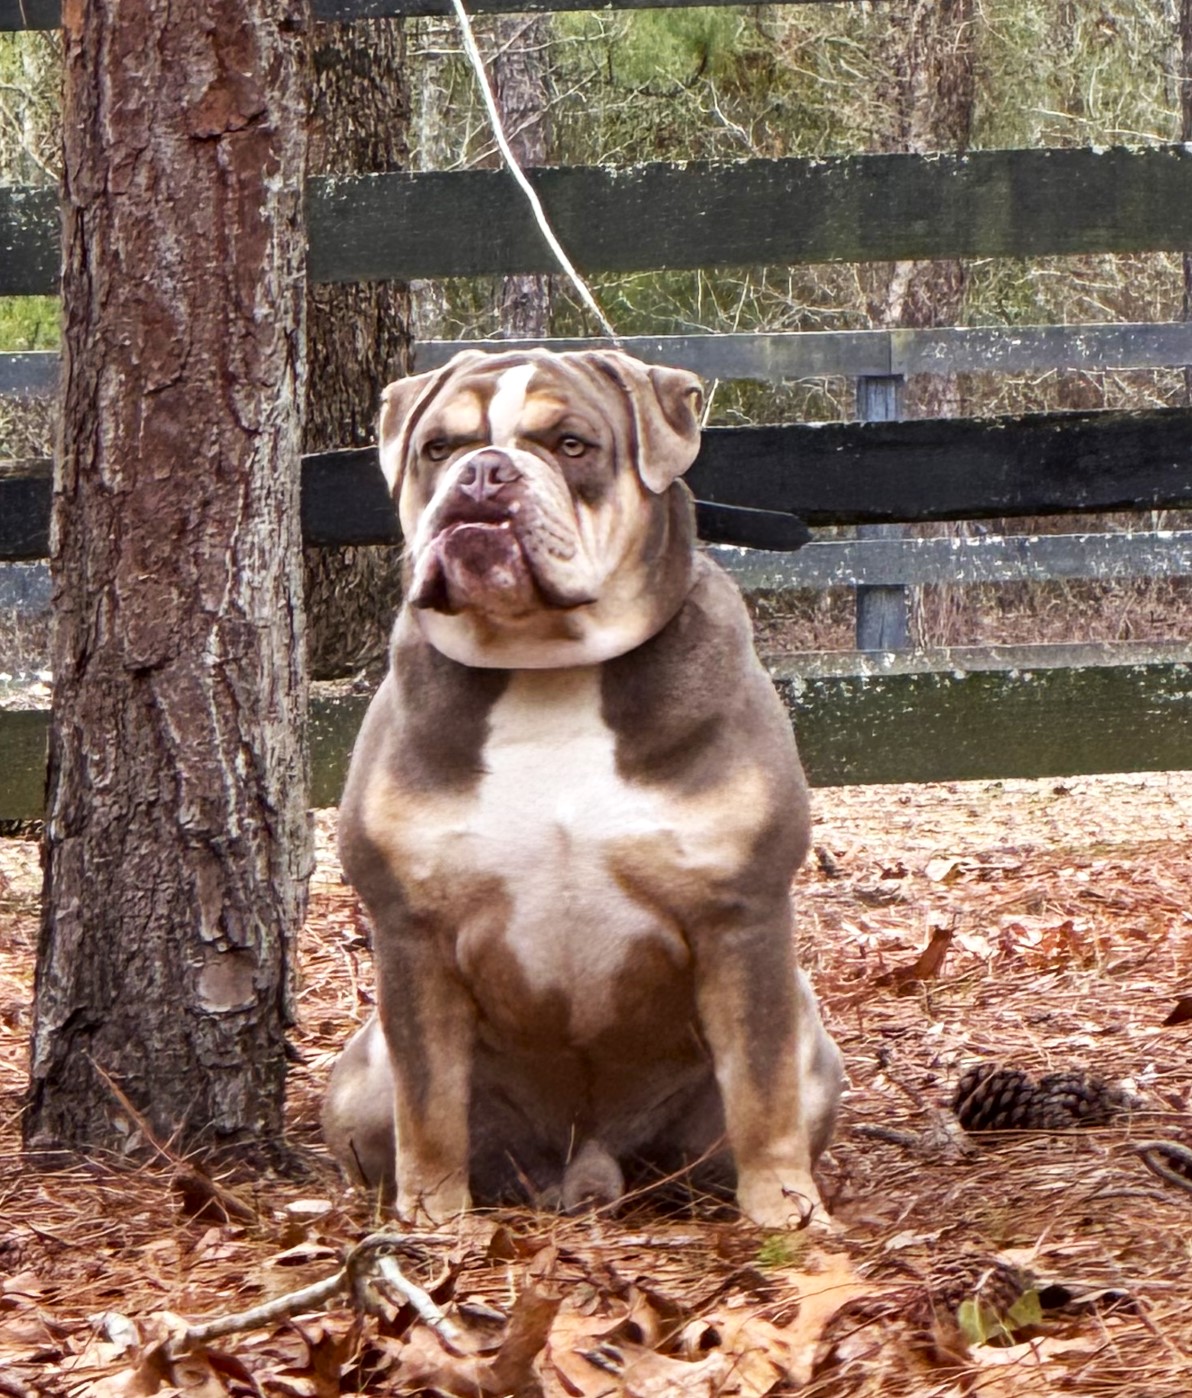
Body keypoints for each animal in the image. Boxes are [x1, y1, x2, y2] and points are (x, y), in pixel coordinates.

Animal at [321, 346, 844, 1224]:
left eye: (571, 444)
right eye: (438, 448)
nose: (484, 473)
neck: (546, 670)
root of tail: (587, 1167)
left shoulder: (742, 915)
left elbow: (762, 1086)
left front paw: (786, 1212)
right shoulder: (411, 932)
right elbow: (427, 1102)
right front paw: (435, 1221)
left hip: (812, 1046)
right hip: (359, 1079)